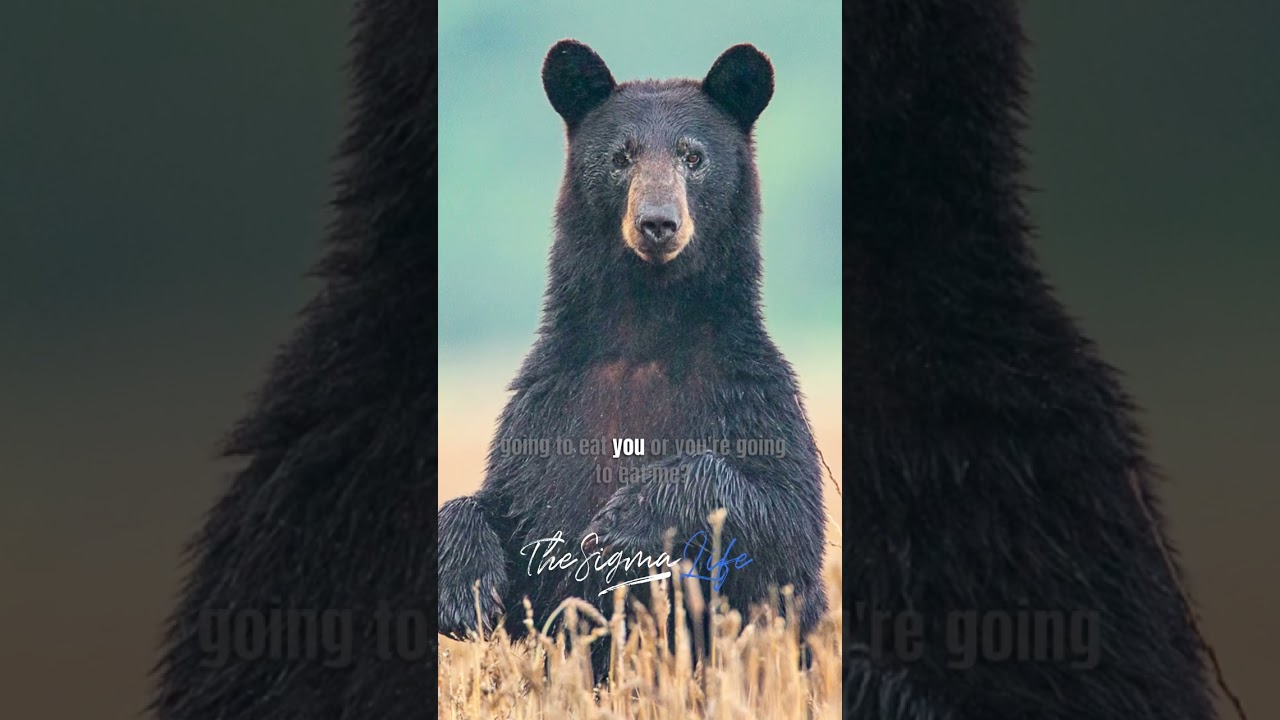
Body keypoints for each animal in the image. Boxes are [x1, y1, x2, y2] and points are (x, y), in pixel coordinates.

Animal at [436, 39, 829, 681]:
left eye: (693, 156)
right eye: (621, 156)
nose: (657, 222)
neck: (647, 330)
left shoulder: (750, 394)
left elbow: (786, 523)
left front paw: (624, 523)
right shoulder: (548, 408)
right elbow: (514, 515)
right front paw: (465, 586)